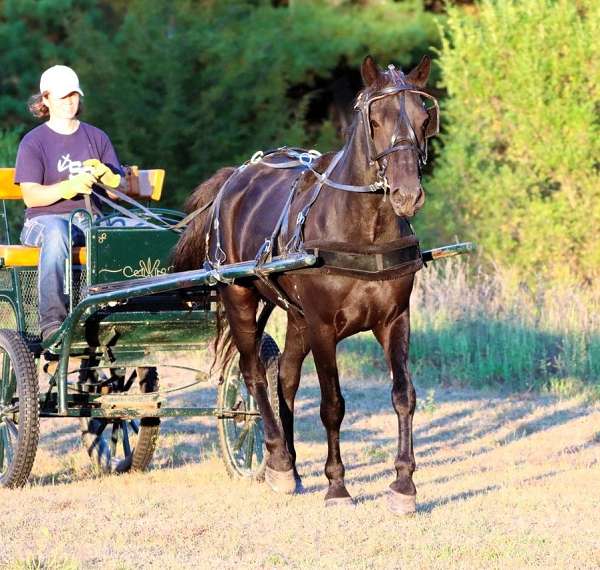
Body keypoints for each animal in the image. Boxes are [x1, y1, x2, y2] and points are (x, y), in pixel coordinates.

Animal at [173, 55, 440, 512]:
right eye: (375, 120)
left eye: (425, 119)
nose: (408, 196)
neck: (364, 230)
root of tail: (235, 179)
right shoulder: (323, 326)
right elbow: (332, 404)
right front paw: (337, 486)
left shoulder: (394, 319)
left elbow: (403, 395)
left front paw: (403, 485)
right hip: (239, 296)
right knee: (254, 376)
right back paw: (278, 459)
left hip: (295, 317)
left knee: (286, 378)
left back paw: (291, 465)